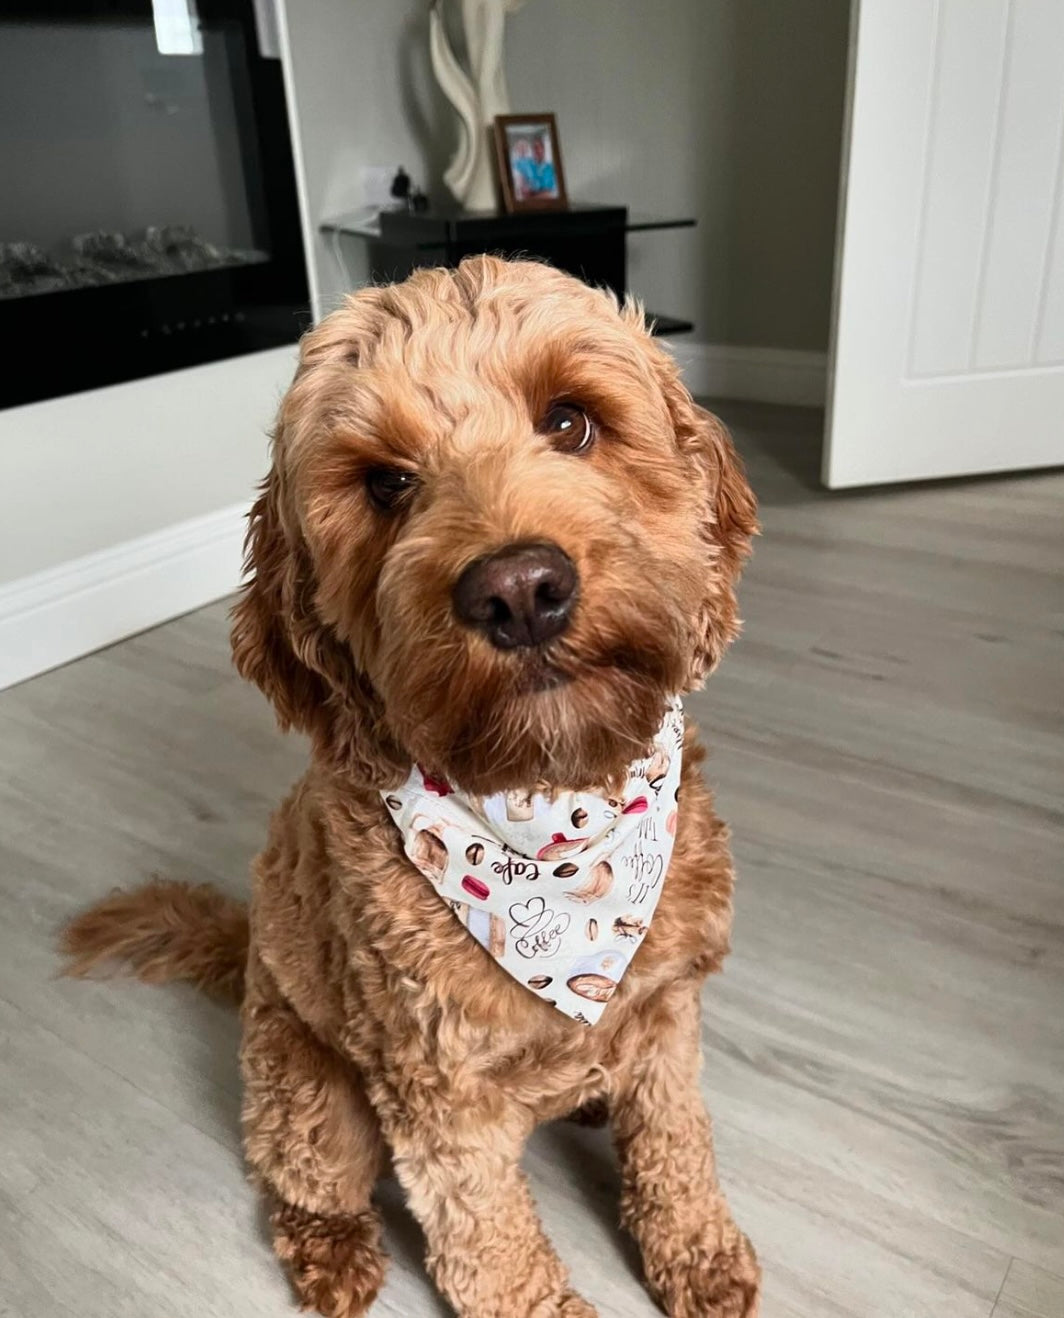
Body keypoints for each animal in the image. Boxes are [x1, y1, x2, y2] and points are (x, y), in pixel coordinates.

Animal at [62, 257, 759, 1318]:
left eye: (570, 421)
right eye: (386, 483)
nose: (518, 591)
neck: (547, 816)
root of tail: (249, 950)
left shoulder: (665, 1014)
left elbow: (677, 1142)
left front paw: (698, 1253)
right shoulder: (440, 1098)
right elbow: (492, 1247)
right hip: (309, 1092)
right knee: (298, 1179)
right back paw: (333, 1253)